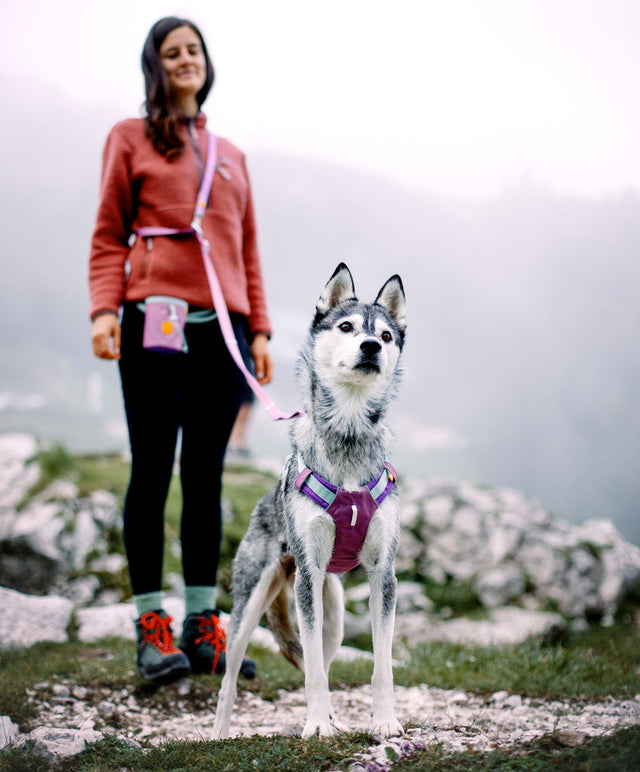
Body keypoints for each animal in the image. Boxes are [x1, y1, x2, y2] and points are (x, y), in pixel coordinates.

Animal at [212, 263, 406, 739]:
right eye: (346, 326)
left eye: (387, 335)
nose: (372, 346)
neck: (349, 436)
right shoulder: (309, 573)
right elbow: (314, 671)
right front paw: (316, 726)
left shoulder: (384, 575)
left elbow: (381, 666)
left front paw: (384, 721)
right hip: (252, 604)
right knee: (231, 679)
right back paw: (218, 734)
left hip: (331, 610)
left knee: (325, 656)